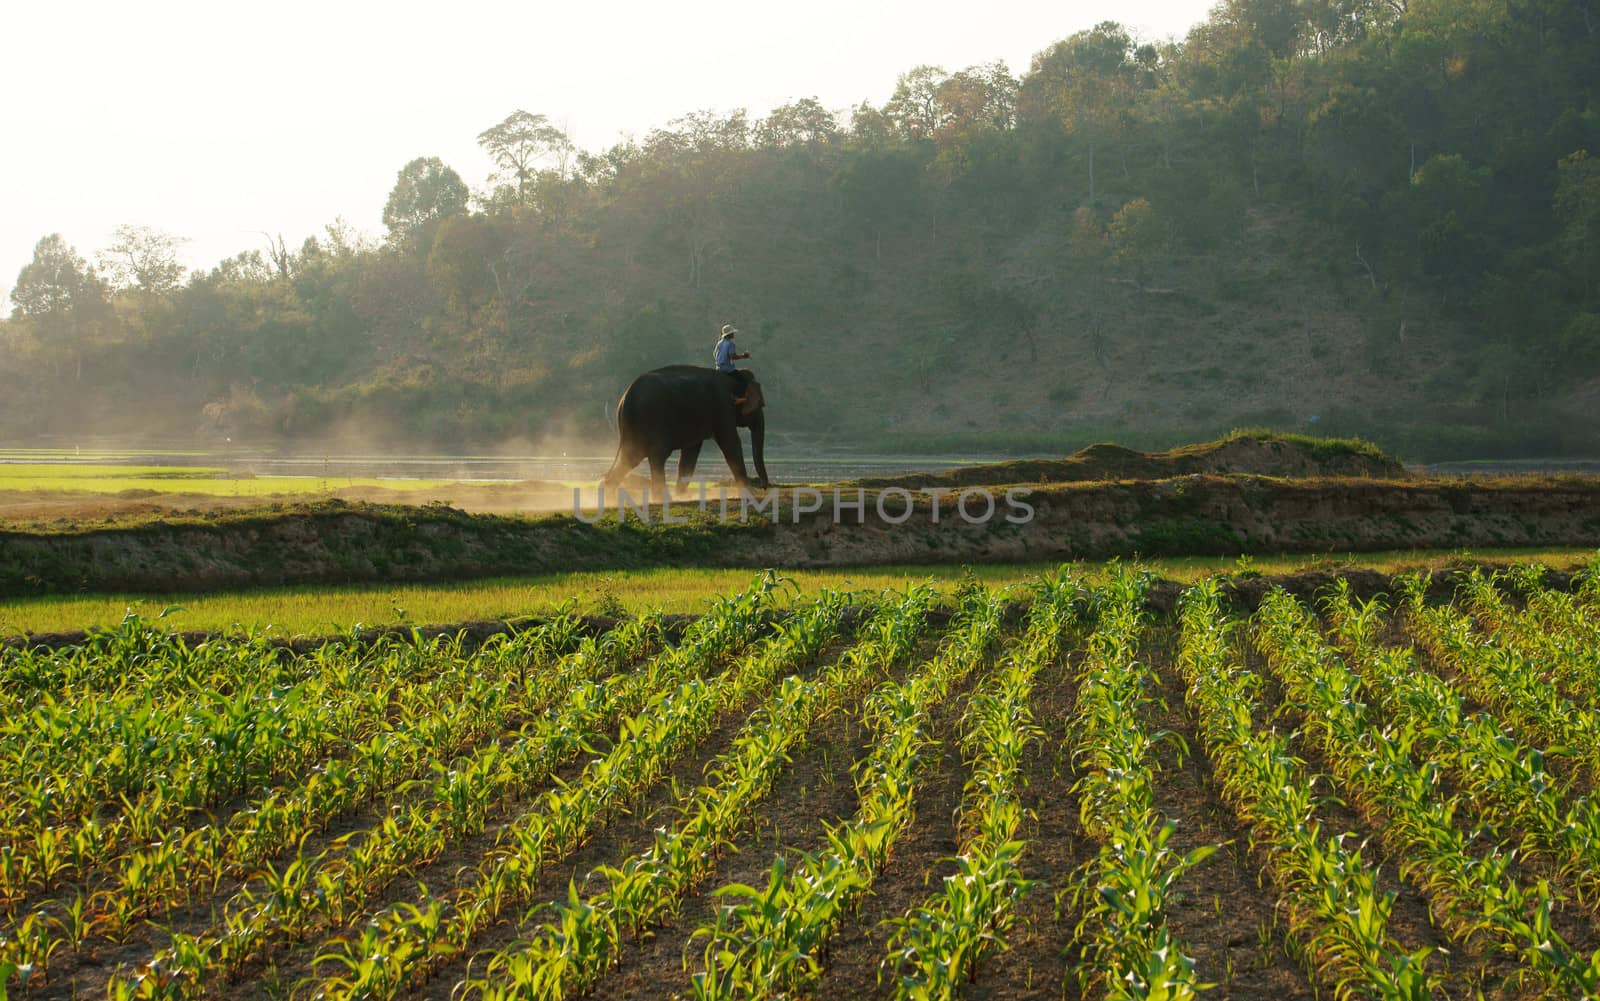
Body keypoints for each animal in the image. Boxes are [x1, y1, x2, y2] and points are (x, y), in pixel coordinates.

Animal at [601, 362, 771, 495]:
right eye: (760, 405)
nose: (764, 487)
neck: (733, 379)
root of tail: (628, 395)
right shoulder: (722, 407)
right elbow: (731, 443)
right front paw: (751, 493)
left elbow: (690, 453)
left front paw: (681, 495)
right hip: (652, 419)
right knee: (657, 454)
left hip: (633, 425)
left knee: (632, 457)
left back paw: (608, 494)